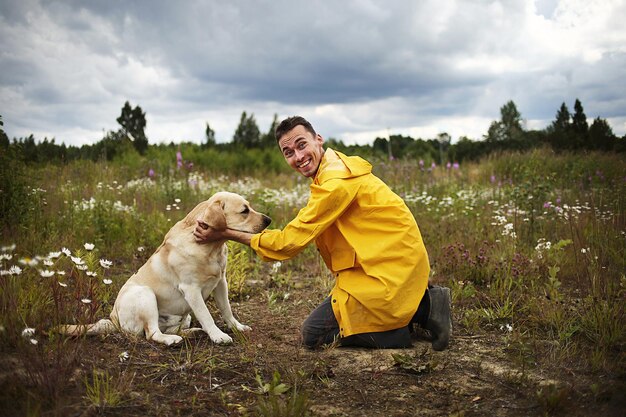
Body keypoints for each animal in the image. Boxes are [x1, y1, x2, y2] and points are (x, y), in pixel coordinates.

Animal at [58, 192, 270, 344]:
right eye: (244, 211)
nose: (268, 220)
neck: (210, 248)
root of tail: (113, 320)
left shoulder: (221, 283)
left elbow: (227, 309)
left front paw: (237, 327)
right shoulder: (191, 290)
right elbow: (206, 315)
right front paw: (218, 336)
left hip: (183, 315)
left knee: (170, 328)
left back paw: (192, 332)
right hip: (145, 295)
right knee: (153, 333)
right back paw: (173, 340)